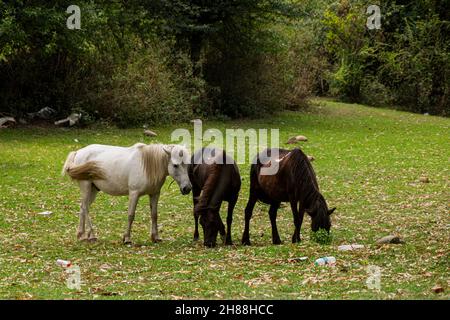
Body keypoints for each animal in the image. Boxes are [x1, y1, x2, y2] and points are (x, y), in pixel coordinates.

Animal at [62, 144, 192, 244]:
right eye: (175, 165)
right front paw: (127, 238)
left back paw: (81, 235)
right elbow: (131, 215)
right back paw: (92, 235)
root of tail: (78, 152)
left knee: (83, 208)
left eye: (188, 164)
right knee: (85, 208)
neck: (147, 165)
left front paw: (155, 237)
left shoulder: (155, 194)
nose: (187, 188)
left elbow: (154, 215)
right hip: (86, 187)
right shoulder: (134, 194)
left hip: (93, 190)